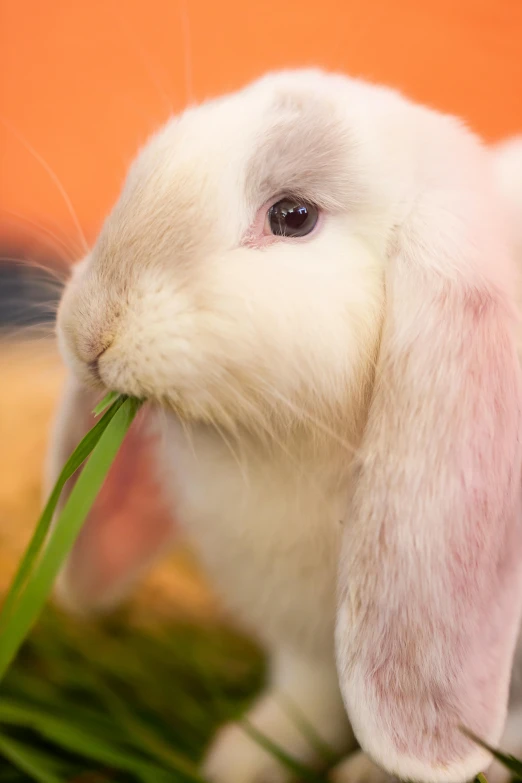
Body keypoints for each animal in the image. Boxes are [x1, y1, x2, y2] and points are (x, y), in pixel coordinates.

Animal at [44, 69, 520, 783]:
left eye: (293, 217)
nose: (91, 331)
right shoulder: (311, 651)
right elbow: (307, 699)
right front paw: (238, 758)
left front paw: (370, 773)